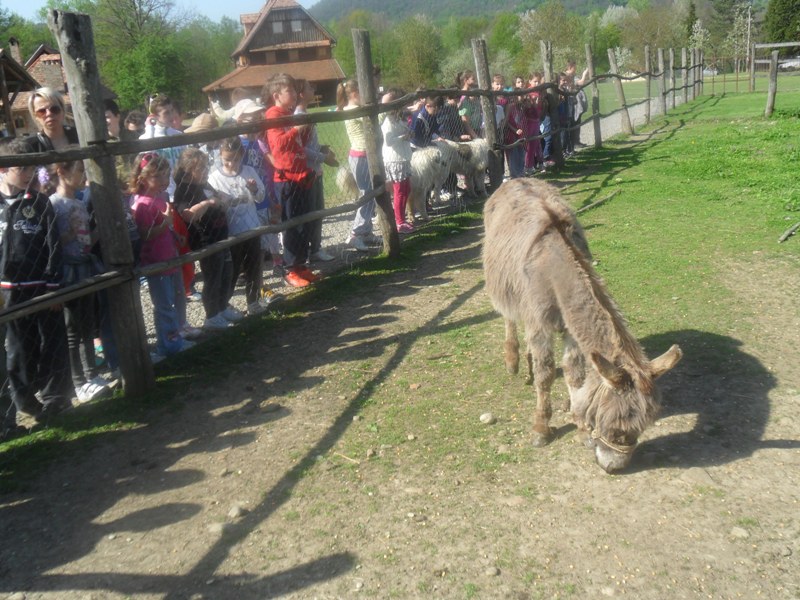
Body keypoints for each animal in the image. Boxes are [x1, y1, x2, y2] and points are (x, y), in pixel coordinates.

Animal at [482, 178, 682, 472]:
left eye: (643, 426)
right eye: (617, 424)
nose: (613, 468)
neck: (555, 270)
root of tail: (516, 179)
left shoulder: (571, 330)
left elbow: (574, 373)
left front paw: (579, 426)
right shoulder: (540, 324)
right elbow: (545, 375)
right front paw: (541, 428)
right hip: (504, 282)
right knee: (509, 317)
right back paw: (513, 360)